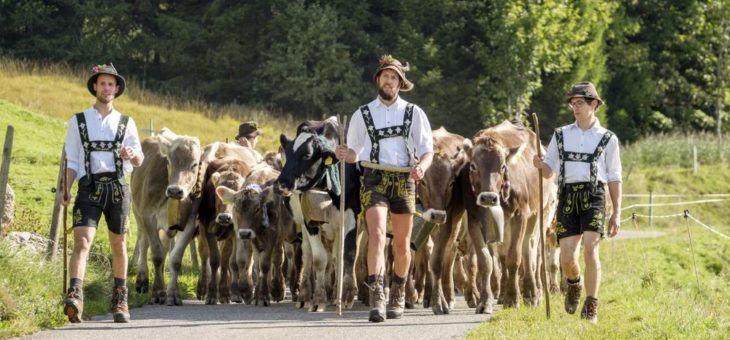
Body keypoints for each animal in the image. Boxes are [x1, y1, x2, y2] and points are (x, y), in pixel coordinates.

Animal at [272, 117, 362, 314]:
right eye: (286, 154)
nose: (279, 185)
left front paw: (346, 295)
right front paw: (319, 299)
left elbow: (348, 254)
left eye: (306, 155)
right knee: (308, 255)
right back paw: (306, 296)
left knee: (335, 256)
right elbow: (320, 259)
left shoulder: (350, 217)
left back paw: (334, 293)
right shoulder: (309, 221)